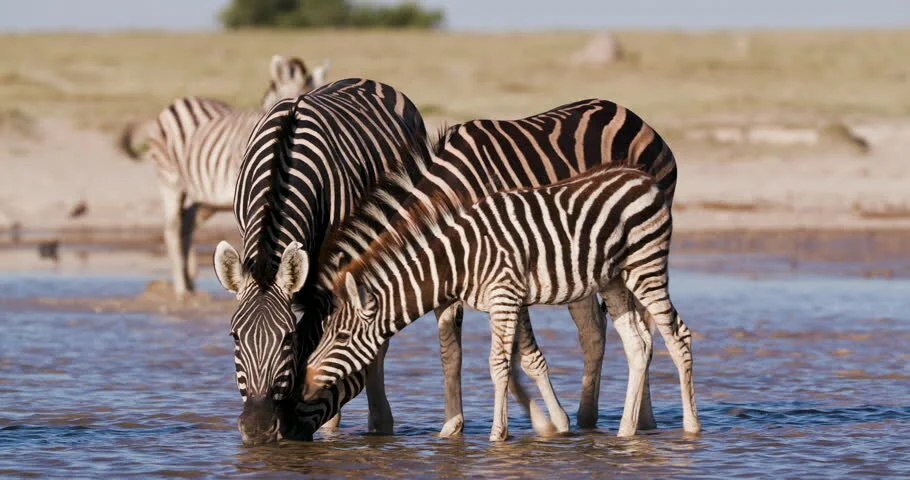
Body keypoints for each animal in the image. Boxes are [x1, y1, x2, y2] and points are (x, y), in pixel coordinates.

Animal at [119, 55, 330, 298]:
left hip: (206, 195)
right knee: (173, 227)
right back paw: (182, 288)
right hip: (170, 180)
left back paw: (190, 280)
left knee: (188, 220)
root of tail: (180, 102)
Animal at [325, 98, 677, 437]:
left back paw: (642, 420)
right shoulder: (449, 275)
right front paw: (452, 427)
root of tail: (626, 112)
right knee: (594, 332)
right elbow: (451, 353)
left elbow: (528, 356)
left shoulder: (506, 267)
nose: (318, 431)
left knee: (647, 328)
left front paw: (551, 423)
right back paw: (589, 418)